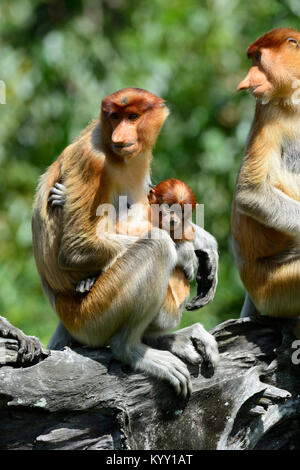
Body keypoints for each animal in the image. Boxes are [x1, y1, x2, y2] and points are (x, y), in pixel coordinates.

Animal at [32, 86, 219, 394]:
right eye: (115, 117)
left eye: (132, 117)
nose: (120, 137)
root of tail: (63, 313)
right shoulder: (91, 160)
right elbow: (75, 249)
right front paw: (186, 252)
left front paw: (206, 245)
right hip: (92, 316)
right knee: (157, 247)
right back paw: (131, 349)